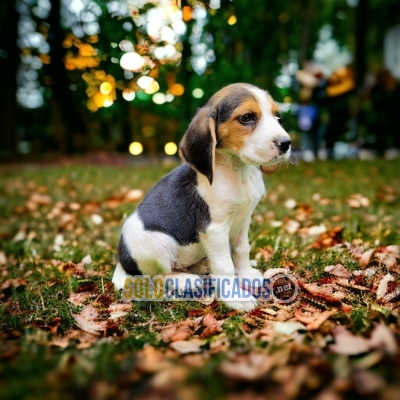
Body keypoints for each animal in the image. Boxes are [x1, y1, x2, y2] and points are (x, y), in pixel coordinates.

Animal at [112, 83, 290, 310]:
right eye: (247, 117)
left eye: (278, 116)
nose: (286, 143)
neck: (237, 171)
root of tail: (122, 262)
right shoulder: (214, 229)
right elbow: (224, 266)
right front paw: (234, 297)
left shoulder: (244, 219)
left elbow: (242, 249)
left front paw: (247, 275)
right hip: (159, 243)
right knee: (157, 276)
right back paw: (184, 279)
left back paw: (202, 266)